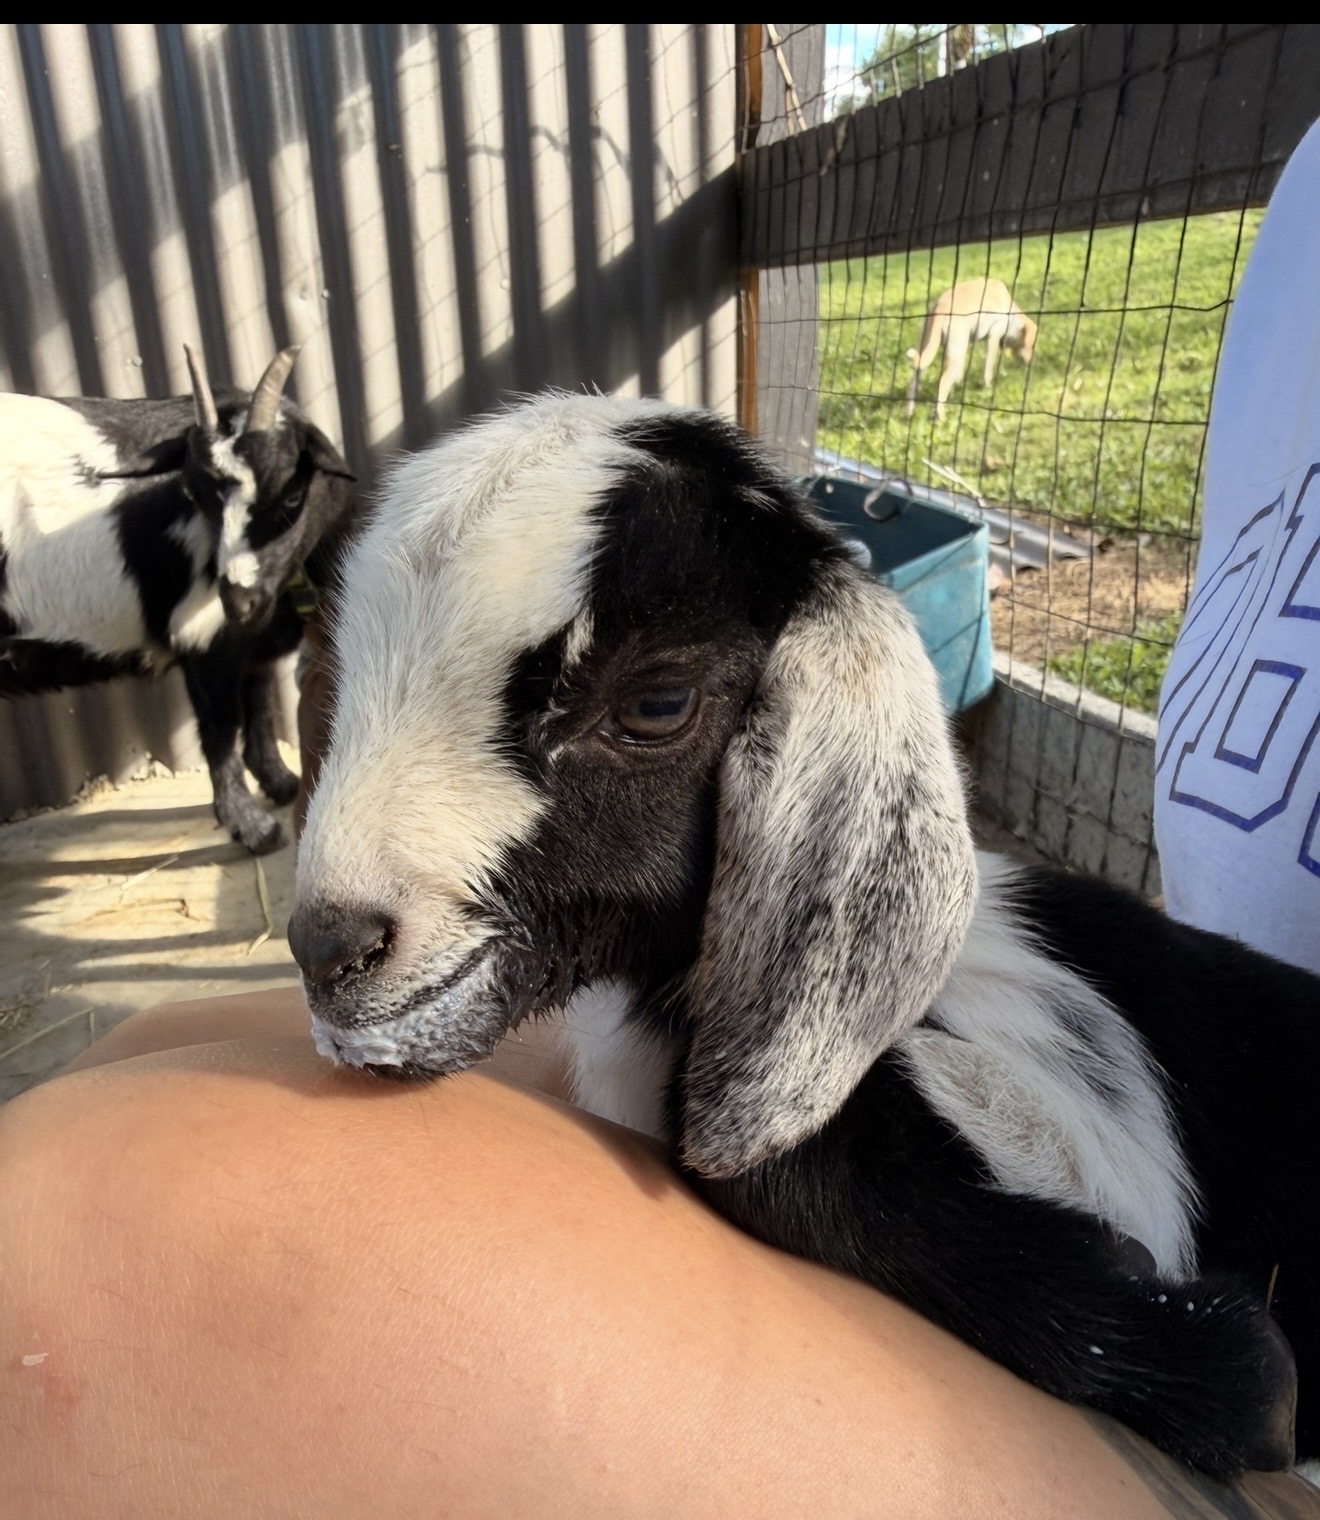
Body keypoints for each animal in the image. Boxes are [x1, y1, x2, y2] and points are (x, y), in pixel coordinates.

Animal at [0, 348, 356, 853]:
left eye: (291, 497)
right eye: (197, 498)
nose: (238, 601)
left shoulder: (251, 642)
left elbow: (260, 704)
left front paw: (279, 783)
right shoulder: (201, 636)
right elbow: (220, 728)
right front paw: (253, 828)